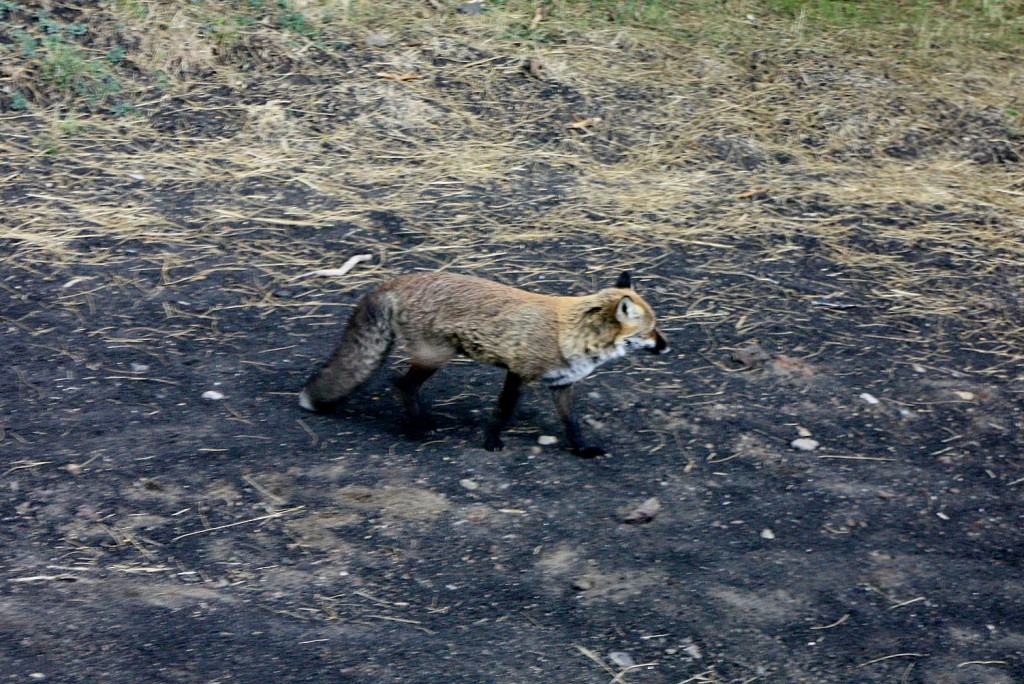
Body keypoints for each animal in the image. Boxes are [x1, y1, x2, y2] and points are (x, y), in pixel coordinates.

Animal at [299, 270, 667, 456]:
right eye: (651, 330)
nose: (666, 347)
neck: (572, 333)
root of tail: (396, 281)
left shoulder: (562, 384)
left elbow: (572, 424)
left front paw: (582, 449)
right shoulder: (518, 372)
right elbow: (501, 412)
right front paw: (491, 442)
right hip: (436, 356)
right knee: (399, 385)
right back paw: (419, 427)